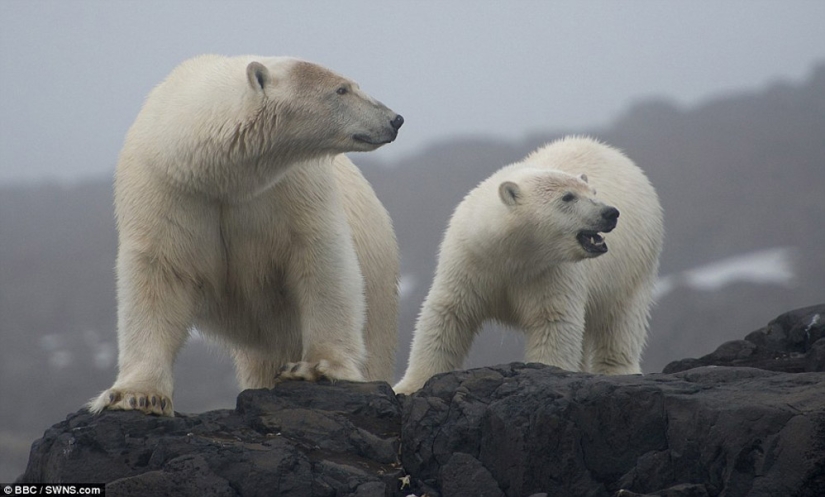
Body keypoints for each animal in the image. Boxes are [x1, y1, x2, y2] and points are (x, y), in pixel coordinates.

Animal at [88, 54, 404, 416]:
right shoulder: (166, 190)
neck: (221, 175)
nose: (395, 119)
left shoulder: (294, 188)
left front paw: (315, 368)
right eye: (341, 90)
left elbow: (321, 259)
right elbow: (159, 275)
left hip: (379, 288)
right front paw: (137, 396)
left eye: (350, 84)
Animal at [394, 136, 663, 394]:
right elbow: (447, 314)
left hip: (634, 264)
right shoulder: (469, 261)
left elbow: (554, 321)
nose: (610, 213)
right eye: (568, 196)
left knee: (622, 319)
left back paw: (617, 370)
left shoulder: (551, 272)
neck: (514, 255)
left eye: (593, 192)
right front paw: (408, 386)